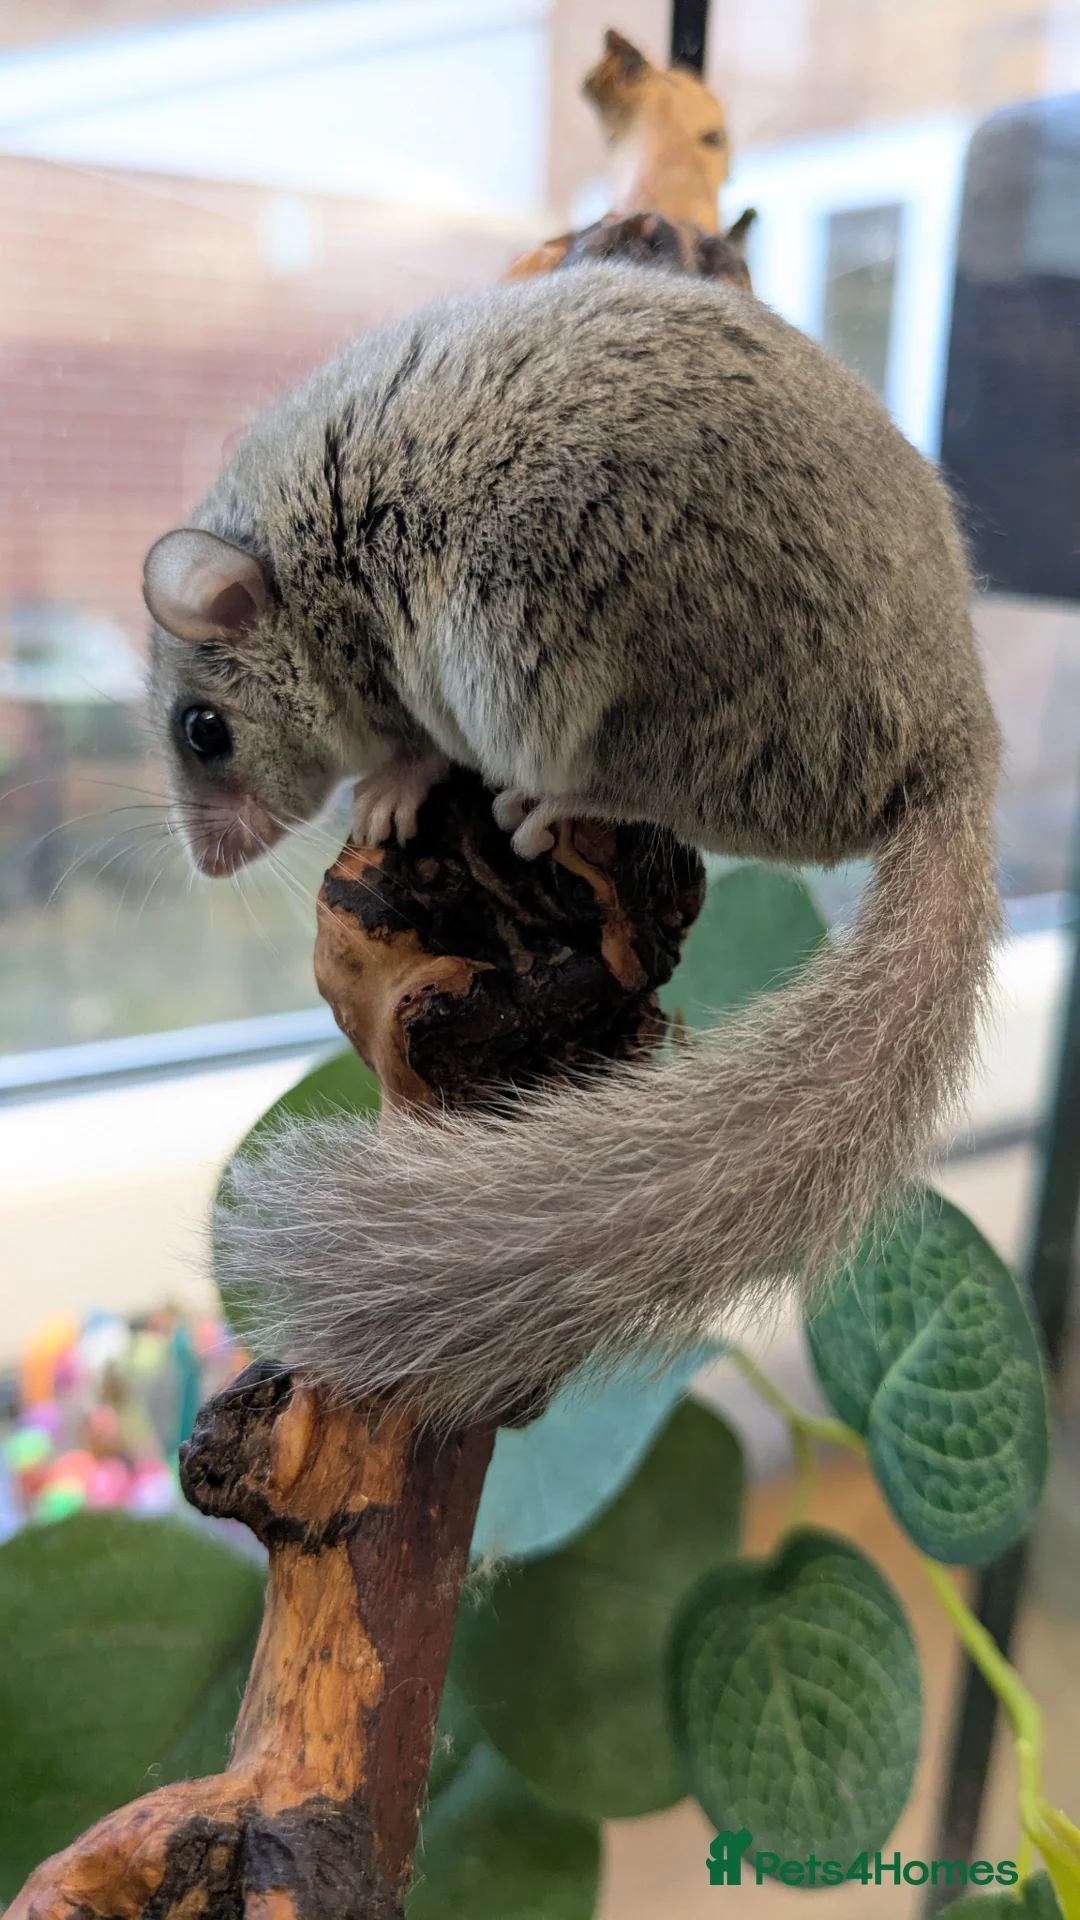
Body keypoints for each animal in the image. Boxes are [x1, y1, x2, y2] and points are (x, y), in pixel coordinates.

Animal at [143, 264, 1001, 1426]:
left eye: (204, 731)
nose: (208, 865)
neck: (306, 565)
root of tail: (959, 741)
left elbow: (409, 750)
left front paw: (389, 789)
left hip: (531, 656)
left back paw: (546, 804)